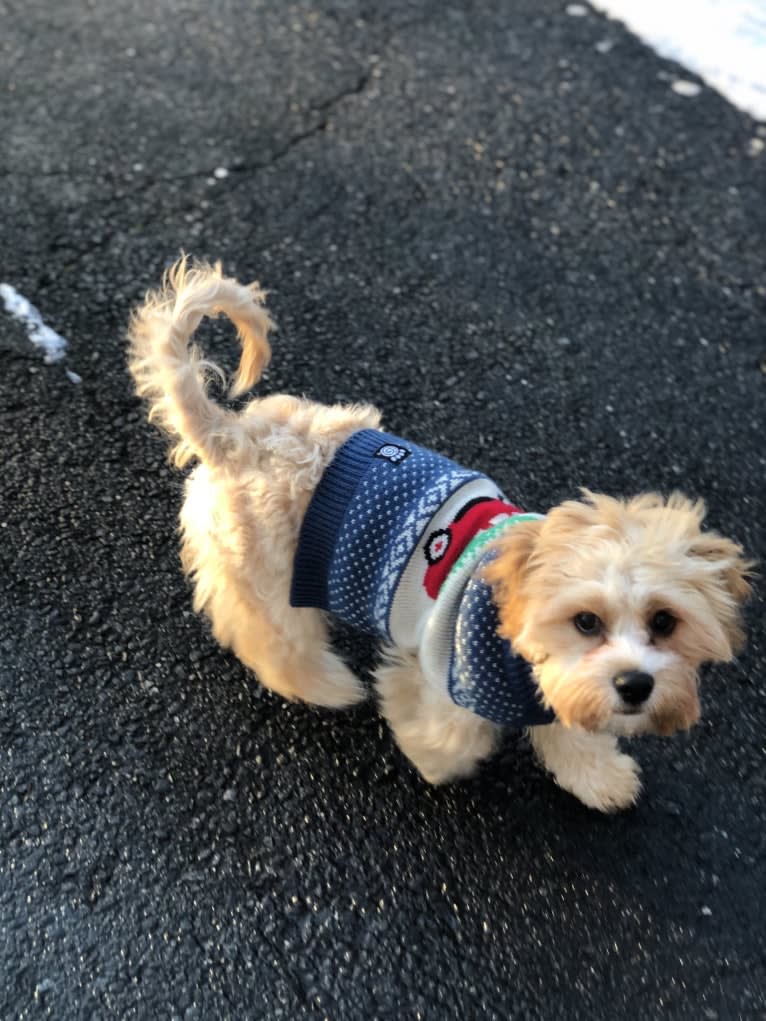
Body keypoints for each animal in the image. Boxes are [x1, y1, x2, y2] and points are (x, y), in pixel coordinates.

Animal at [127, 259, 755, 808]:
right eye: (586, 621)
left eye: (665, 622)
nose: (635, 685)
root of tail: (234, 436)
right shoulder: (440, 665)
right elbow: (451, 731)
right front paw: (430, 757)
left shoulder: (563, 689)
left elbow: (571, 730)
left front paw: (600, 777)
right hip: (268, 577)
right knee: (275, 644)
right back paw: (328, 685)